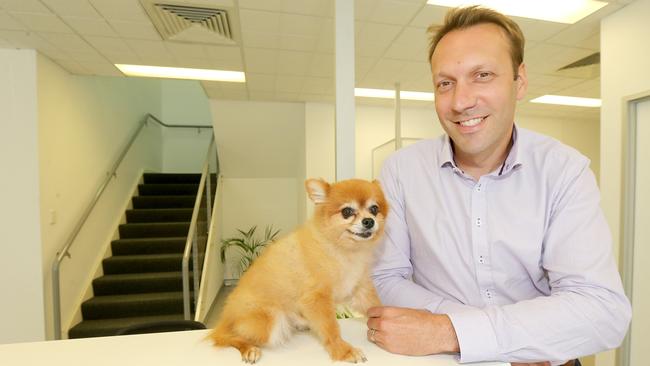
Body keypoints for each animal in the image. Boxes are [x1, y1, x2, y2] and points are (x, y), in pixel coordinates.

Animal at [210, 178, 388, 364]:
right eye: (347, 211)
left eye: (374, 209)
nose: (369, 221)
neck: (340, 249)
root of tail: (226, 317)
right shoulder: (316, 298)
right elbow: (330, 327)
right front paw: (343, 350)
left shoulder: (358, 288)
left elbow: (374, 305)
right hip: (268, 322)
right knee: (225, 337)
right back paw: (248, 349)